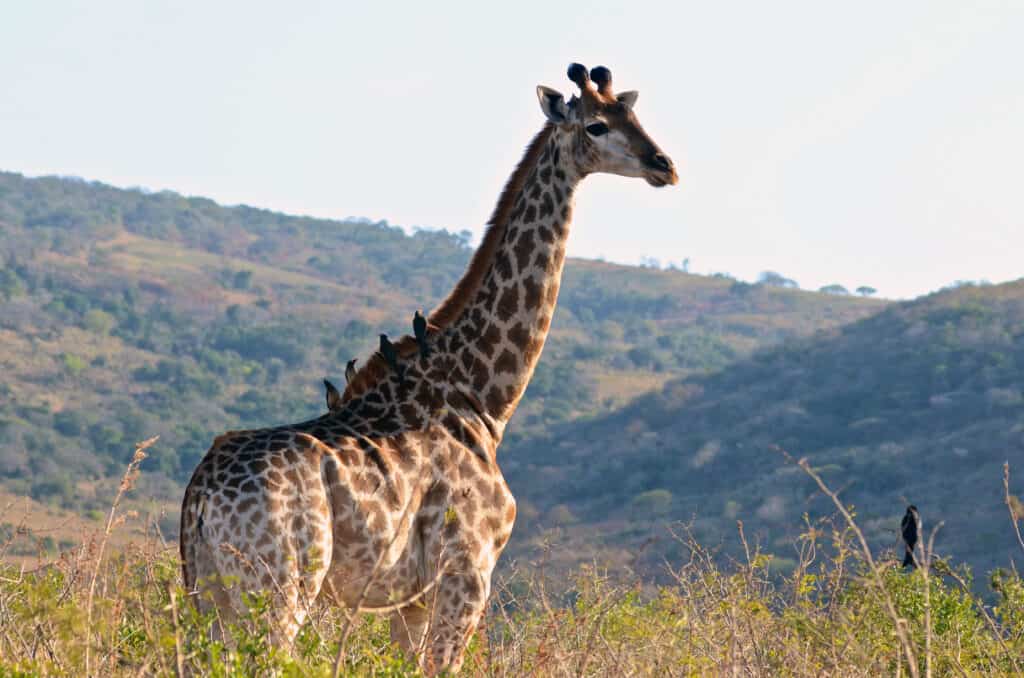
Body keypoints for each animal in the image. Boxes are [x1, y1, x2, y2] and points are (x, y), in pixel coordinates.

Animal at [182, 62, 679, 675]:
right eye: (596, 125)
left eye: (632, 114)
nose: (664, 165)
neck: (481, 395)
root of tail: (201, 493)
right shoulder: (467, 572)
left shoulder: (411, 599)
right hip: (281, 588)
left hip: (209, 595)